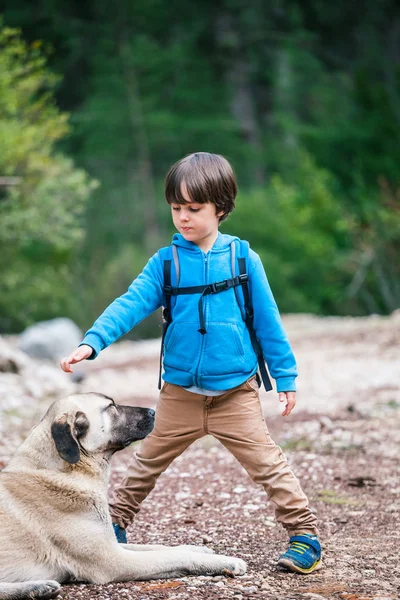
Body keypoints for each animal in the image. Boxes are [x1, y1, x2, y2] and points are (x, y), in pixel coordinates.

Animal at [0, 392, 245, 596]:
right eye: (111, 407)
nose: (153, 411)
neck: (63, 470)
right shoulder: (112, 560)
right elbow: (173, 556)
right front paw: (225, 561)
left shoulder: (112, 545)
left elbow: (161, 547)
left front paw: (200, 548)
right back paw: (35, 588)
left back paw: (37, 587)